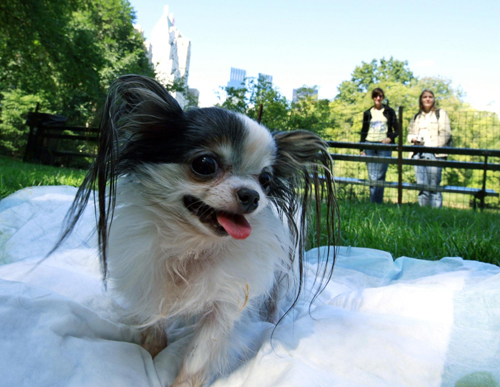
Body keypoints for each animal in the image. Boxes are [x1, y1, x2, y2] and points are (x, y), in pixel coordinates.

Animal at [55, 74, 336, 386]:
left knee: (275, 296)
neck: (191, 244)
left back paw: (272, 319)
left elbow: (198, 356)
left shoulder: (226, 304)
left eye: (265, 180)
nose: (252, 195)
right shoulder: (149, 281)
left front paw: (180, 382)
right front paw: (151, 356)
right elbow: (153, 323)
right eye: (205, 164)